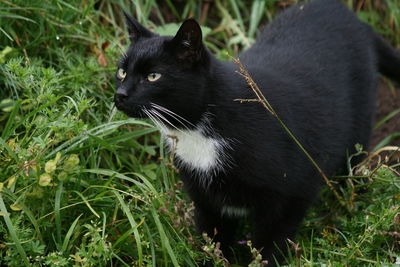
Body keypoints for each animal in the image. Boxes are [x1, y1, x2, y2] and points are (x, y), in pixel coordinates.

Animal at [115, 0, 400, 266]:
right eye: (122, 71)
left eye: (153, 76)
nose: (120, 94)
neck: (198, 133)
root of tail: (353, 17)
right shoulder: (206, 199)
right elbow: (213, 240)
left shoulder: (291, 192)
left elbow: (272, 241)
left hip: (356, 134)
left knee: (353, 172)